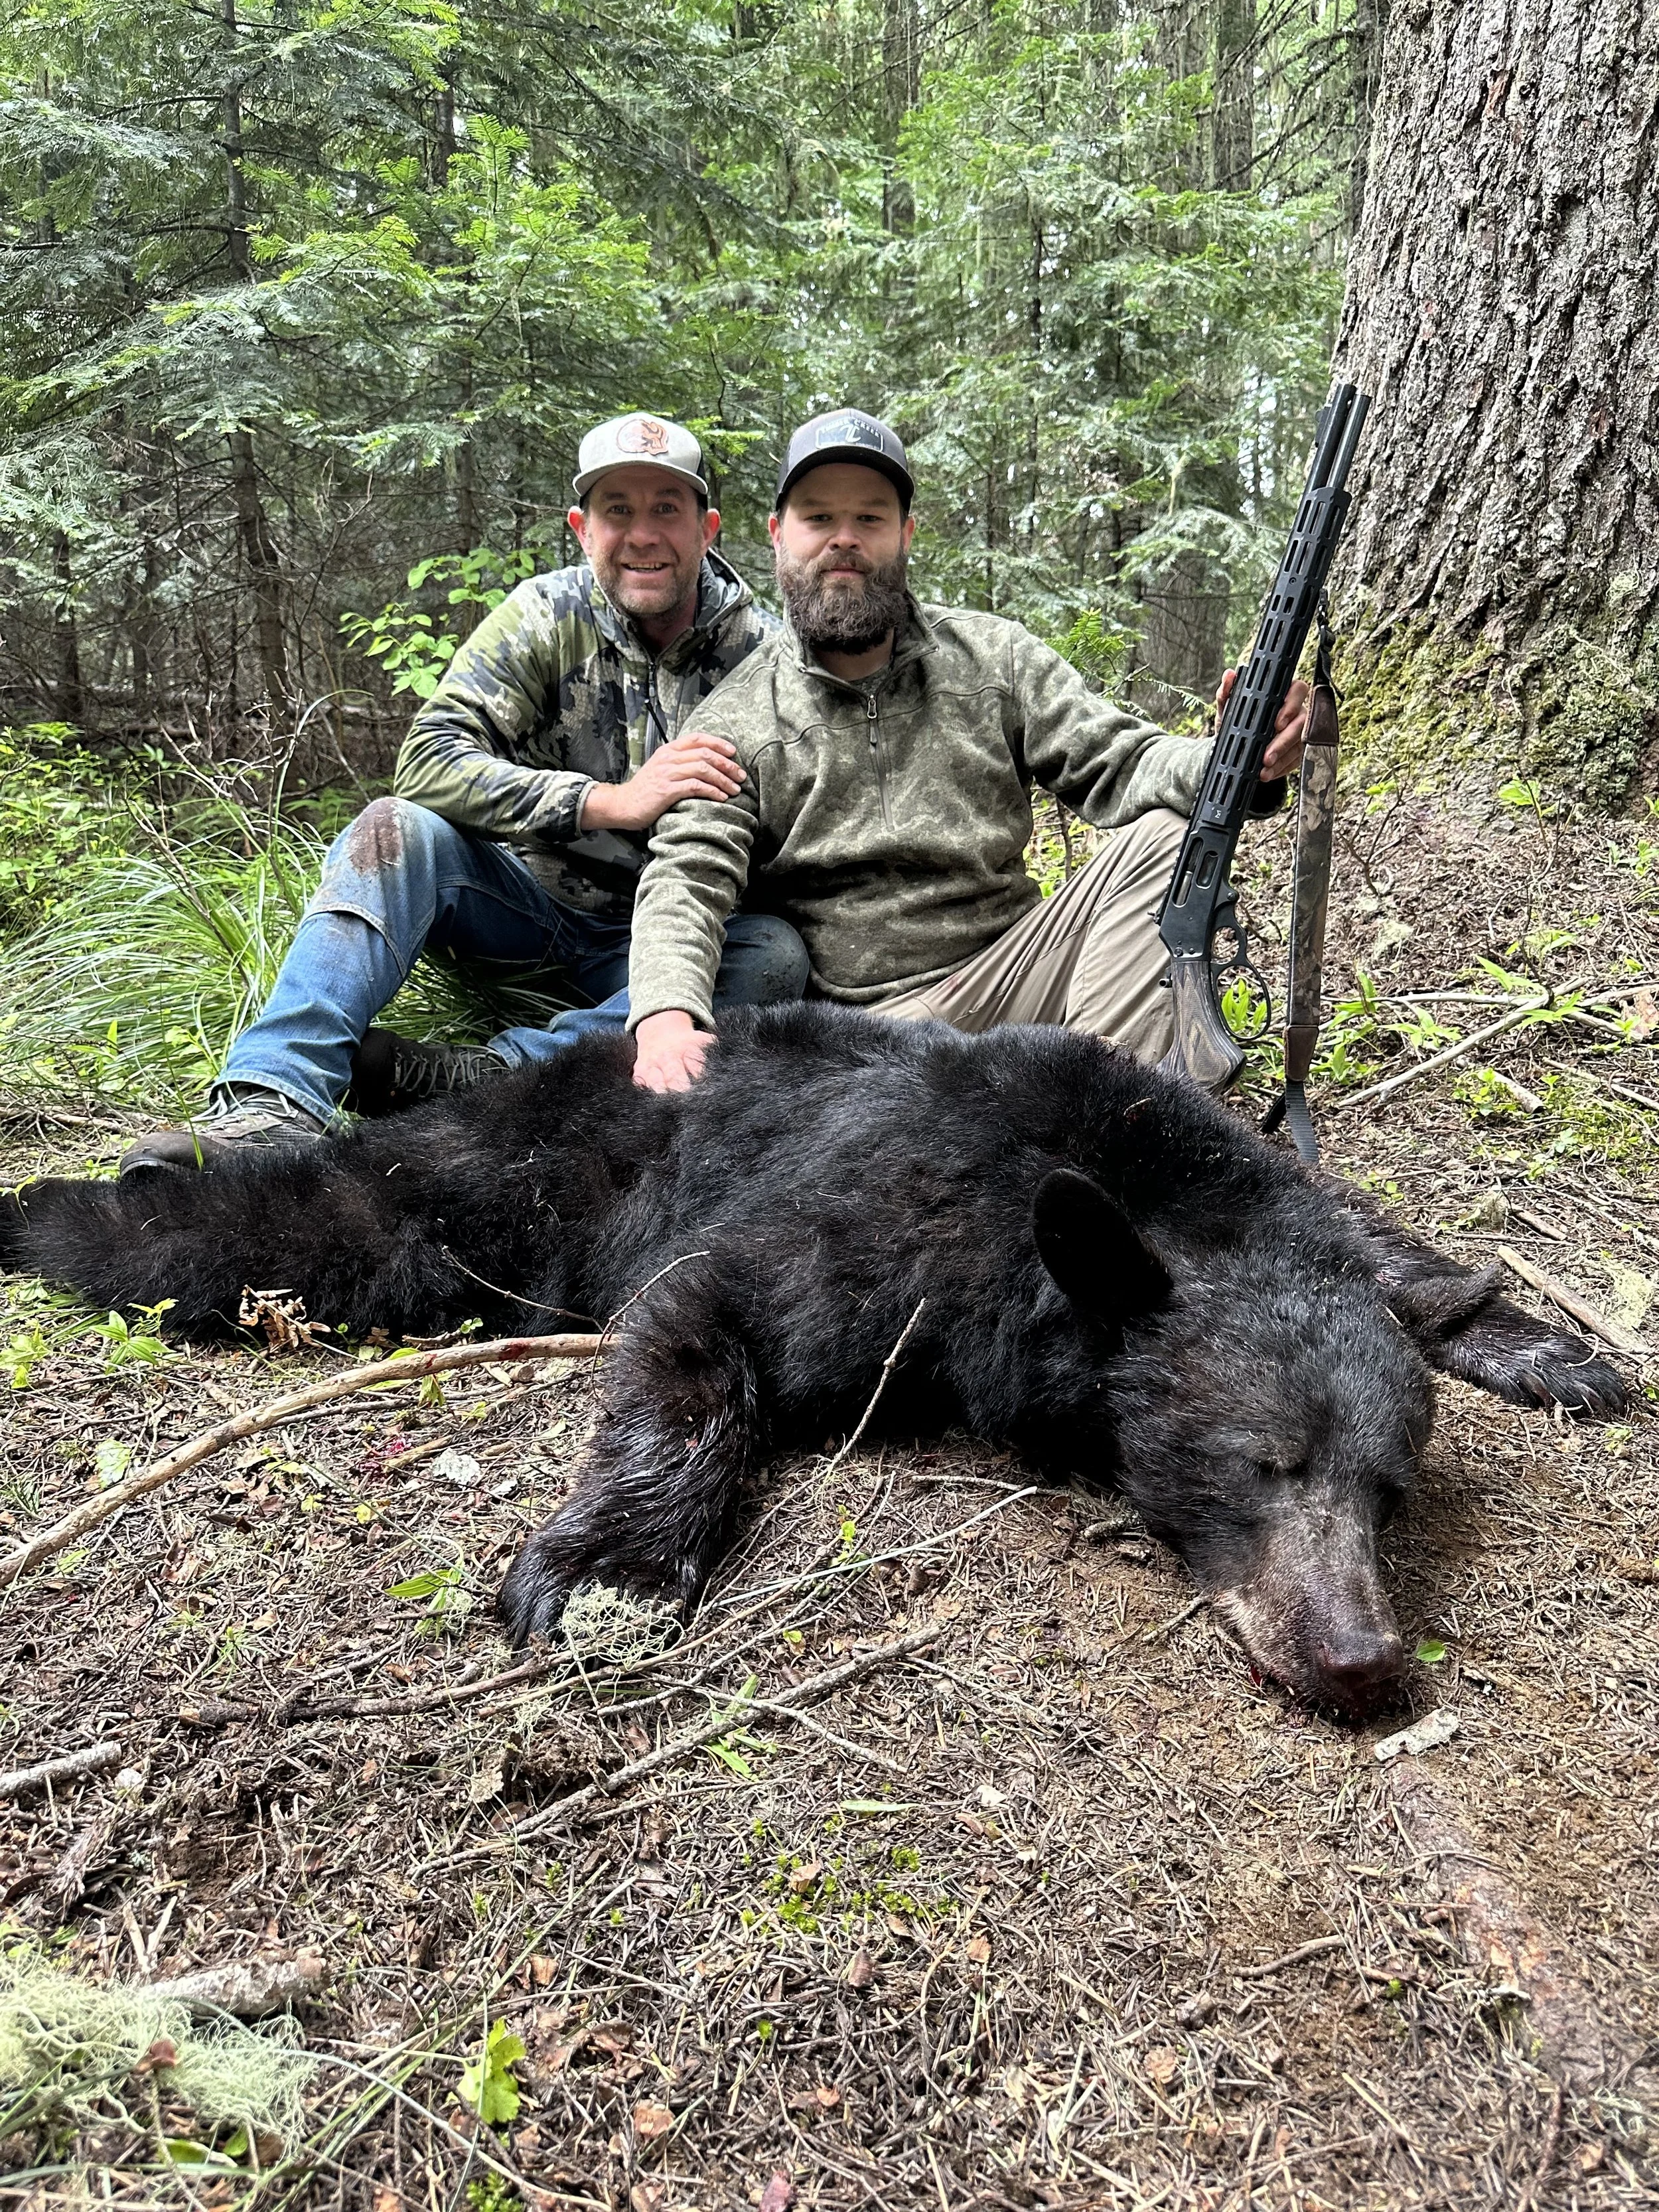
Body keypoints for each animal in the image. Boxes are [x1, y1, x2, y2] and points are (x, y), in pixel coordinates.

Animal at [0, 1002, 1624, 1714]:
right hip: (516, 1188)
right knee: (330, 1212)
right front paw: (608, 1569)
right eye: (1259, 1465)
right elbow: (702, 1331)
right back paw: (82, 1198)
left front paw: (1552, 1344)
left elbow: (1407, 1260)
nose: (1360, 1658)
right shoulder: (875, 1230)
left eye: (1390, 1492)